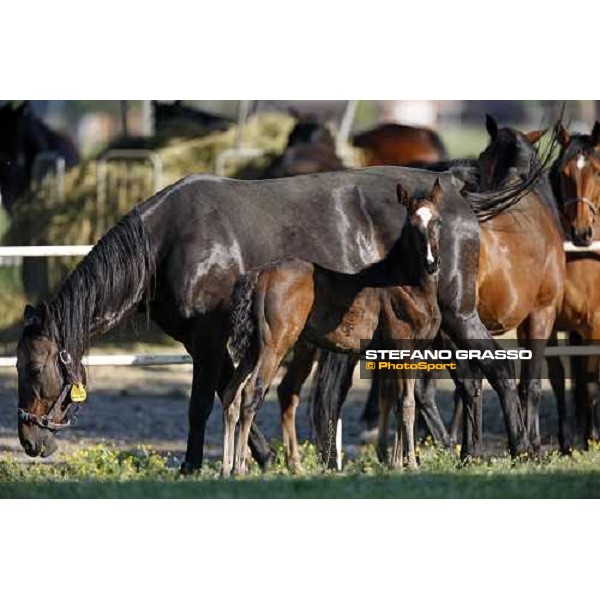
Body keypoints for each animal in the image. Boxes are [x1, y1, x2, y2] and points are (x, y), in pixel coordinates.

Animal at [16, 166, 528, 472]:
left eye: (36, 368)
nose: (29, 441)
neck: (169, 241)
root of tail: (457, 190)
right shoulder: (210, 343)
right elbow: (232, 394)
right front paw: (259, 459)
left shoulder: (208, 339)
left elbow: (202, 403)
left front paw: (192, 466)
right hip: (441, 328)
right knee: (466, 381)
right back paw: (463, 453)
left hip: (459, 314)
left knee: (498, 368)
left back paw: (520, 446)